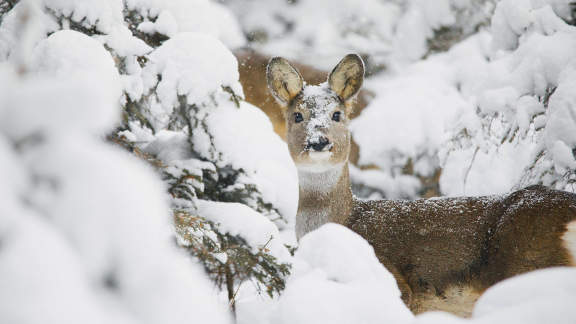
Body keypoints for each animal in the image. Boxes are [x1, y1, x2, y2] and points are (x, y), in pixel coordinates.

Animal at [266, 53, 576, 316]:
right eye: (297, 116)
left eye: (336, 115)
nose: (319, 142)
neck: (342, 222)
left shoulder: (397, 285)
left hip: (531, 265)